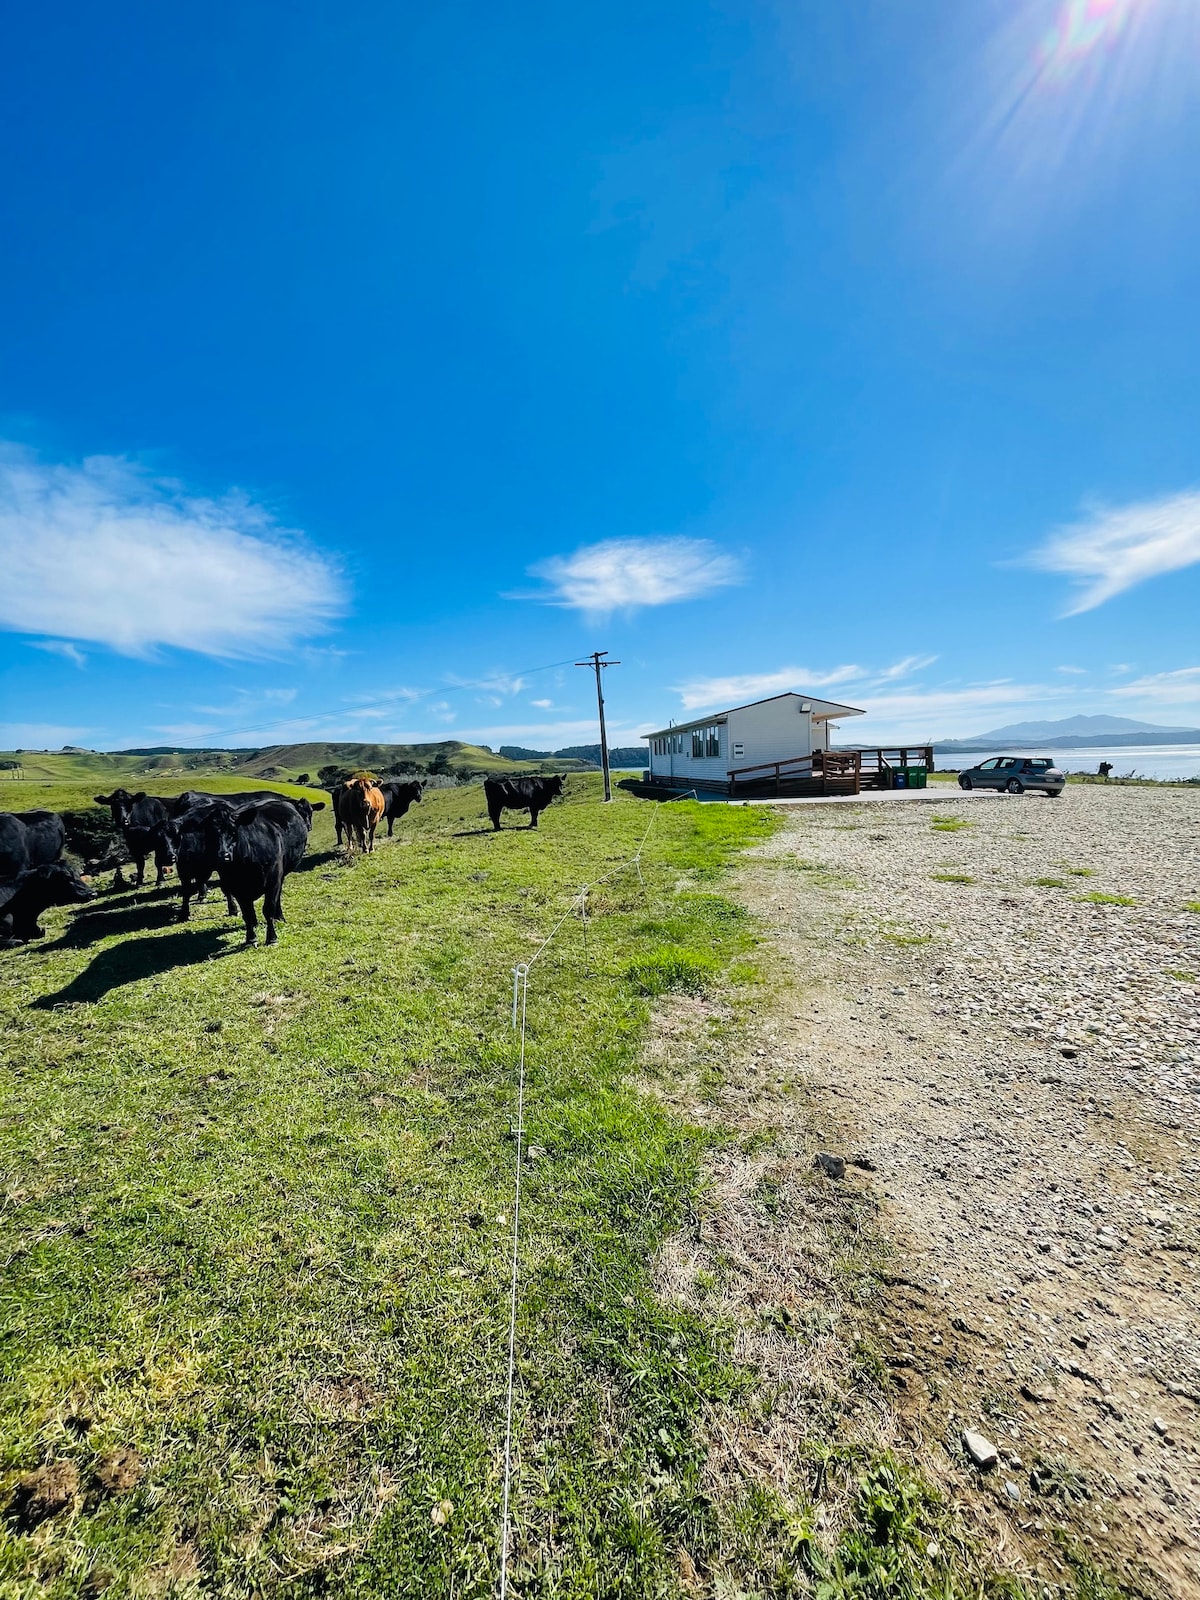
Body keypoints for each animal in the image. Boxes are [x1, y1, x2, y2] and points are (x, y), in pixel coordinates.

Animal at [212, 793, 321, 940]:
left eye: (311, 812)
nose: (309, 826)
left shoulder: (273, 879)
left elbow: (267, 908)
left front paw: (270, 934)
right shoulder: (238, 887)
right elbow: (247, 912)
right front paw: (252, 936)